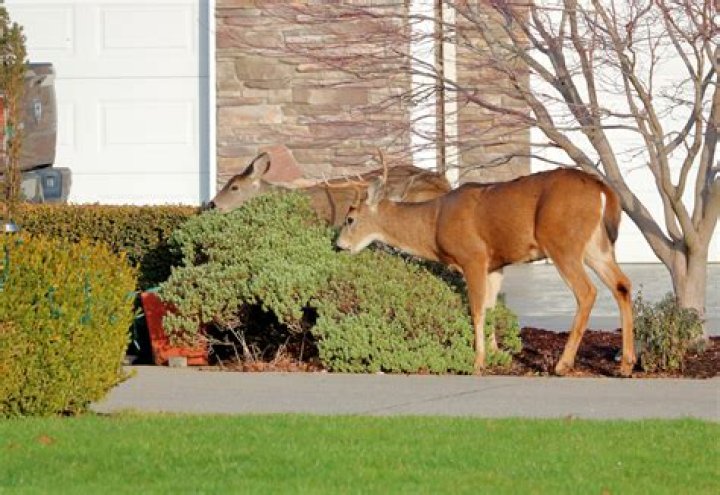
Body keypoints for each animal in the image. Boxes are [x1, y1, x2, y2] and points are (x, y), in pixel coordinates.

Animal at [336, 168, 636, 377]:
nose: (339, 244)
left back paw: (563, 365)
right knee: (622, 284)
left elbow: (477, 310)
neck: (433, 224)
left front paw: (478, 362)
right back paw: (626, 364)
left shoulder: (473, 257)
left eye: (350, 219)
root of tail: (602, 189)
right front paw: (496, 355)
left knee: (587, 291)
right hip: (597, 246)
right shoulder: (495, 265)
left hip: (563, 242)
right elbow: (491, 308)